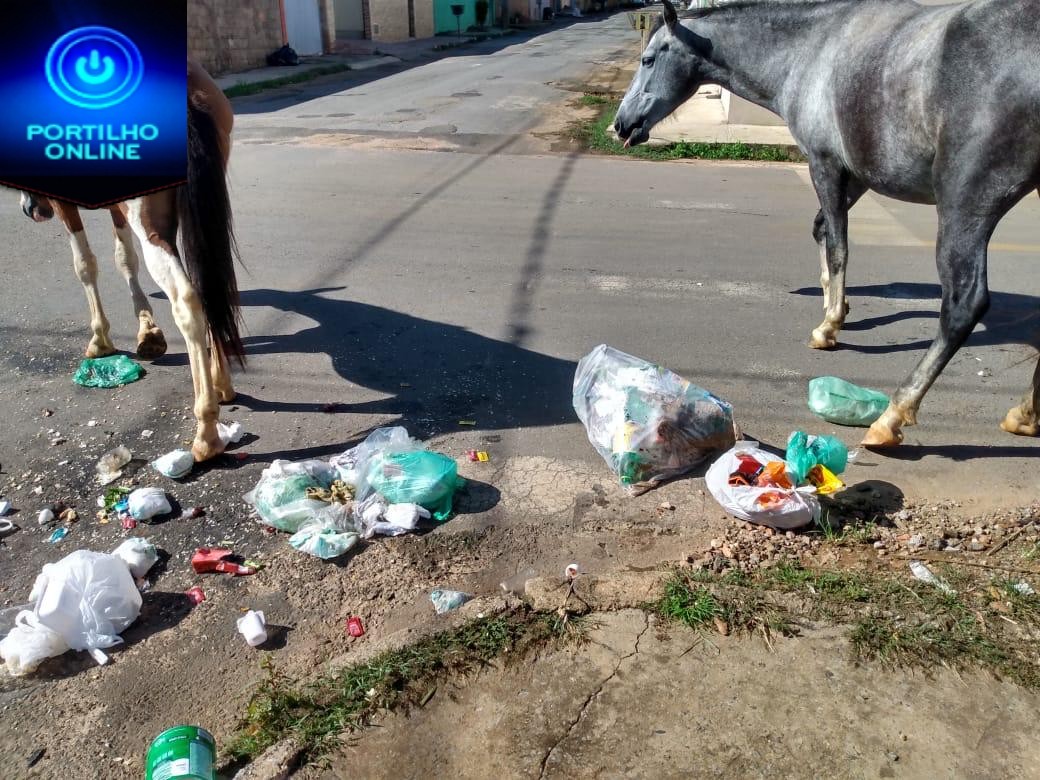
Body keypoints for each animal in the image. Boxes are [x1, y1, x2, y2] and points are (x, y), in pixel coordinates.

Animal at [19, 64, 242, 463]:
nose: (31, 209)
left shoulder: (67, 204)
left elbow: (85, 264)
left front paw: (101, 339)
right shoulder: (116, 206)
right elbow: (124, 258)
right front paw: (148, 333)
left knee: (187, 300)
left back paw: (206, 432)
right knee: (209, 286)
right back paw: (221, 385)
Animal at [615, 0, 1040, 449]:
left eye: (648, 59)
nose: (621, 124)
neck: (810, 50)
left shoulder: (826, 165)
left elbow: (838, 244)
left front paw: (829, 326)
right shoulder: (856, 175)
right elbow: (822, 229)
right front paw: (835, 308)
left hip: (967, 203)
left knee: (963, 305)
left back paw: (891, 416)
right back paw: (1025, 414)